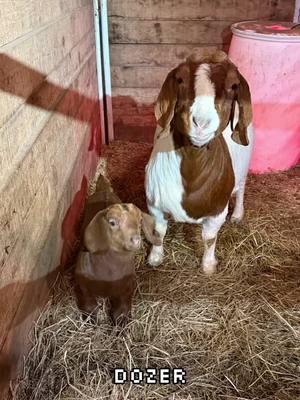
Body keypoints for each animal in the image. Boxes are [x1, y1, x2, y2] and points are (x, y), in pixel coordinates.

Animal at [74, 176, 159, 324]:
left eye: (140, 220)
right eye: (112, 222)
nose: (135, 240)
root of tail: (104, 190)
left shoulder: (127, 287)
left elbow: (122, 307)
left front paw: (121, 322)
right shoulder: (82, 284)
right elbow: (88, 303)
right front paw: (91, 319)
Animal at [145, 50, 253, 276]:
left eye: (233, 85)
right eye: (180, 79)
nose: (201, 122)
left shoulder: (217, 211)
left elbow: (209, 238)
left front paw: (208, 266)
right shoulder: (154, 204)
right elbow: (158, 231)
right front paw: (155, 258)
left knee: (241, 189)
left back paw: (237, 215)